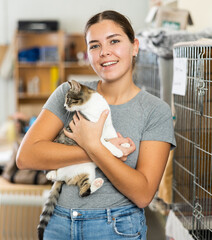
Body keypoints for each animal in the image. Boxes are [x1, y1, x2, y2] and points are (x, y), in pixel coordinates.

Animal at [37, 79, 128, 239]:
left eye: (68, 98)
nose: (64, 106)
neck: (94, 107)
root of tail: (64, 177)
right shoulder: (92, 134)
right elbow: (104, 143)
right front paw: (116, 150)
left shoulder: (108, 125)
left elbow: (112, 136)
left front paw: (124, 143)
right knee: (54, 173)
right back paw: (51, 174)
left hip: (86, 172)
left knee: (84, 190)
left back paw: (96, 182)